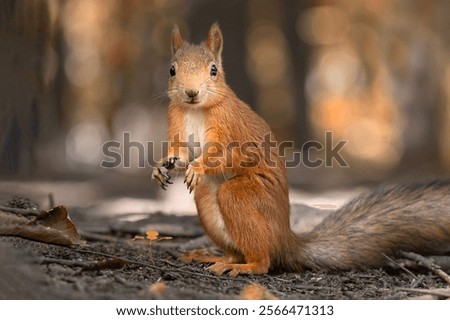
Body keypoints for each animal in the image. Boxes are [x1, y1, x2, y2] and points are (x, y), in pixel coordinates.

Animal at [152, 23, 450, 276]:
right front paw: (162, 166)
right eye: (172, 70)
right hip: (206, 201)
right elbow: (180, 153)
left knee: (262, 261)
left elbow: (230, 155)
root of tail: (285, 240)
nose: (191, 92)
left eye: (213, 70)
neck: (196, 110)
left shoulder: (231, 128)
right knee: (236, 250)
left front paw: (198, 166)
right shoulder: (177, 123)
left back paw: (242, 266)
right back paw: (211, 257)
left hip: (242, 197)